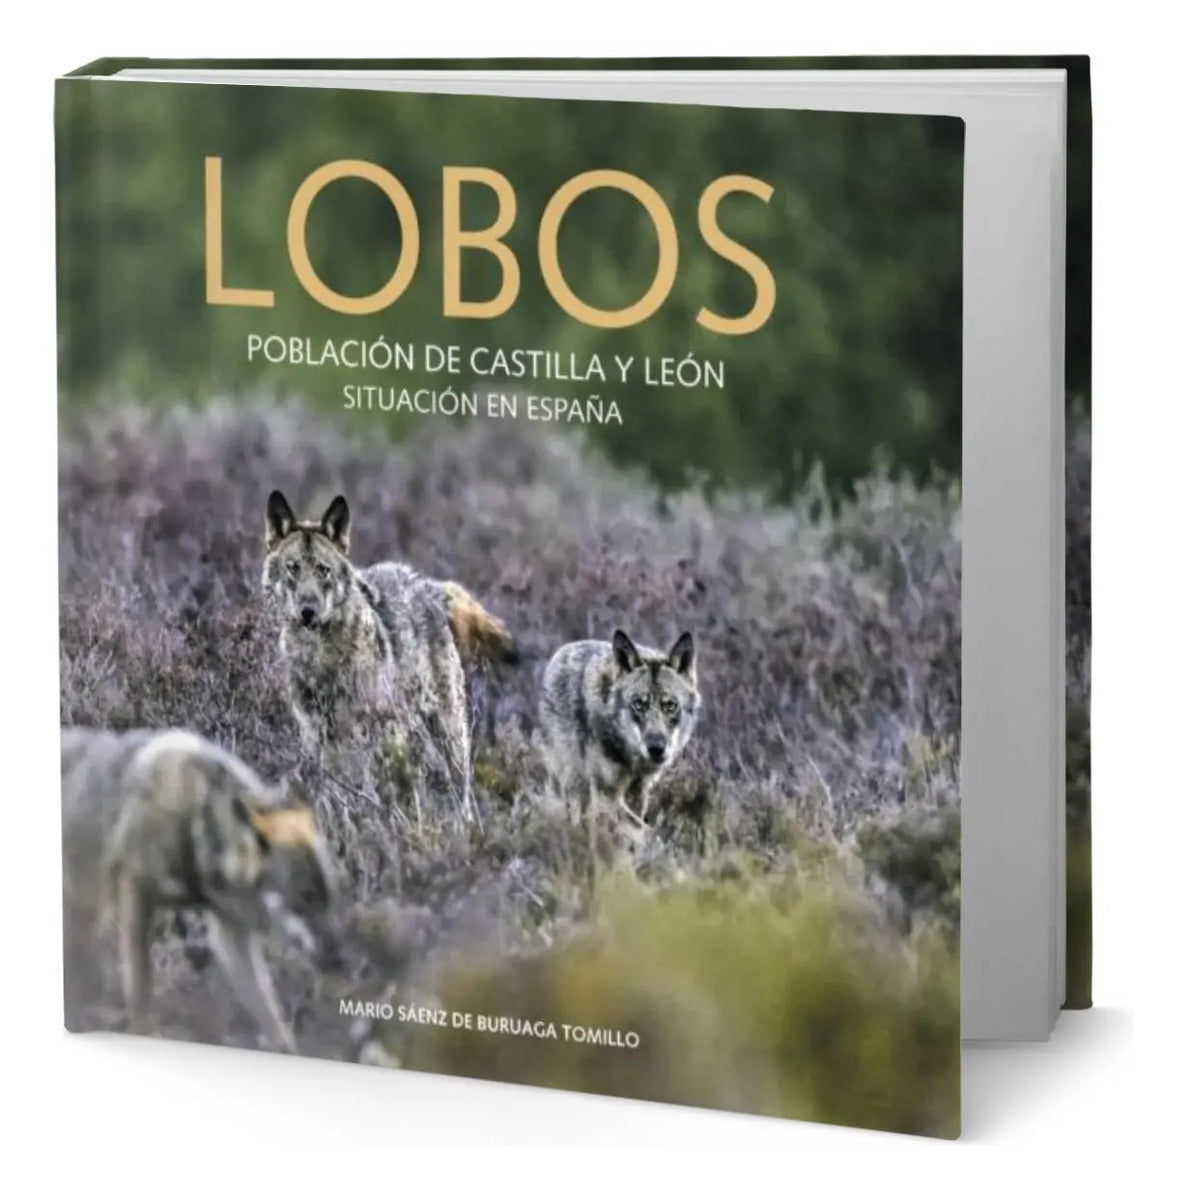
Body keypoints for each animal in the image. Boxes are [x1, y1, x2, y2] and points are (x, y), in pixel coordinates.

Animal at [61, 727, 336, 1053]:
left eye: (328, 898)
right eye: (305, 896)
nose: (340, 960)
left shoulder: (230, 932)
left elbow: (272, 1015)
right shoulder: (137, 893)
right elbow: (142, 987)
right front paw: (144, 1032)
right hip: (89, 912)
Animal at [262, 490, 516, 820]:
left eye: (322, 570)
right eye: (293, 568)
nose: (308, 611)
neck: (320, 657)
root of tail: (427, 584)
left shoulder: (369, 732)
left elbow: (368, 786)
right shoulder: (315, 734)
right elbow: (329, 790)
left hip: (444, 729)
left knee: (459, 786)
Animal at [539, 630, 700, 822]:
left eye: (670, 706)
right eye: (639, 705)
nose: (656, 749)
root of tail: (562, 651)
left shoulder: (640, 792)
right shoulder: (607, 796)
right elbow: (643, 829)